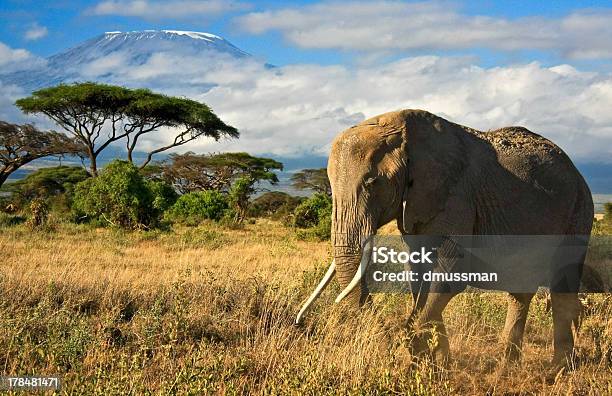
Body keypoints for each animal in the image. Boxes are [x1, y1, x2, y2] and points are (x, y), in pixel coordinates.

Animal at [296, 109, 592, 368]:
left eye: (372, 182)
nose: (300, 322)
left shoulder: (457, 197)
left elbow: (449, 275)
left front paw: (416, 358)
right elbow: (419, 274)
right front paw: (437, 366)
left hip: (579, 211)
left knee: (562, 284)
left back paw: (558, 369)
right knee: (521, 291)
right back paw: (508, 367)